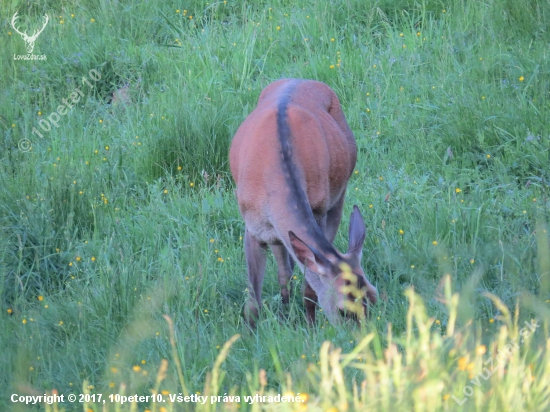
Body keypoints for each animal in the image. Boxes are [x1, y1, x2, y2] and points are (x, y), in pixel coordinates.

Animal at [230, 79, 380, 326]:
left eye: (374, 296)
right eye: (343, 310)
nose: (370, 335)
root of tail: (298, 79)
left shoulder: (318, 208)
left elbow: (310, 287)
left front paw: (310, 326)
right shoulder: (252, 227)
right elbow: (252, 301)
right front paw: (250, 331)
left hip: (337, 195)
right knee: (284, 268)